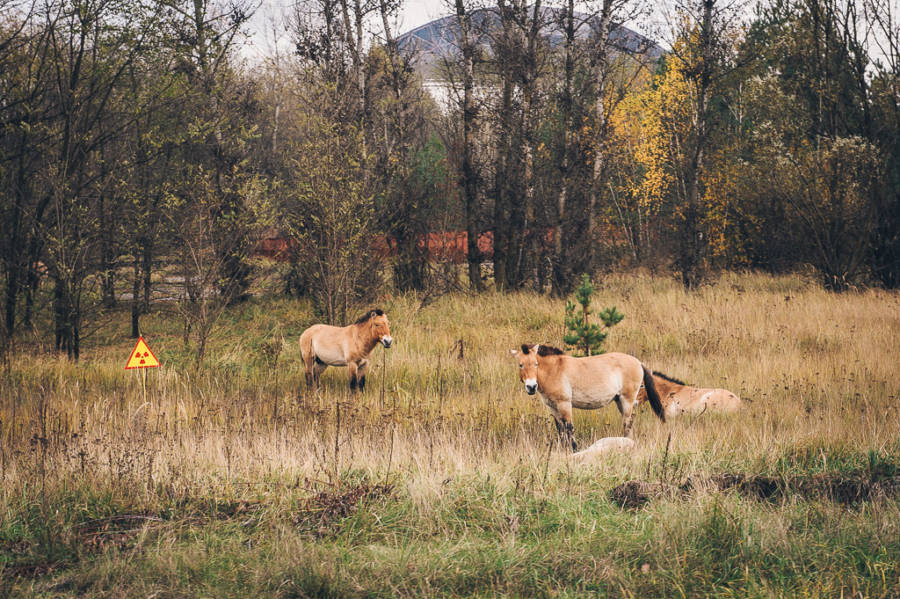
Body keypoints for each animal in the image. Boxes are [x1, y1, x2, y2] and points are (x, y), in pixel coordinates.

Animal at [510, 342, 664, 450]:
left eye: (536, 364)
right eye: (520, 365)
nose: (531, 387)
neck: (554, 370)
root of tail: (638, 362)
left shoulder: (564, 404)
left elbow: (569, 428)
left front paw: (574, 450)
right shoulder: (552, 407)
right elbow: (561, 430)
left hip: (627, 399)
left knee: (628, 423)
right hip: (619, 400)